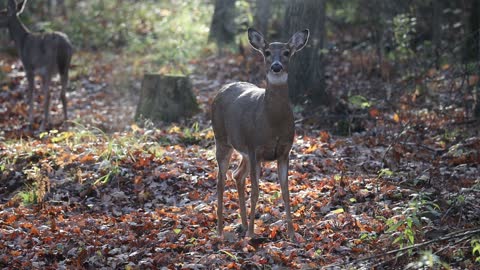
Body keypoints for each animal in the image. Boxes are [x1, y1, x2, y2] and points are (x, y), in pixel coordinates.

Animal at [0, 0, 73, 131]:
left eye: (1, 13)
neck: (21, 42)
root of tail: (62, 44)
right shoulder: (40, 73)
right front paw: (48, 120)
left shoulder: (29, 67)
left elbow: (31, 94)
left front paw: (30, 121)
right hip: (65, 67)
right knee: (62, 94)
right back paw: (66, 124)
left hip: (49, 66)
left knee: (48, 94)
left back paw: (42, 127)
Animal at [212, 27, 310, 239]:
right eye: (266, 52)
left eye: (287, 52)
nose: (276, 66)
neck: (272, 123)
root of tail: (222, 89)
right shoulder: (255, 147)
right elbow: (256, 191)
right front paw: (252, 234)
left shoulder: (284, 151)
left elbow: (286, 191)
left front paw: (292, 233)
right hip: (222, 139)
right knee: (221, 180)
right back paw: (221, 231)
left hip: (244, 151)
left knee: (237, 175)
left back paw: (241, 224)